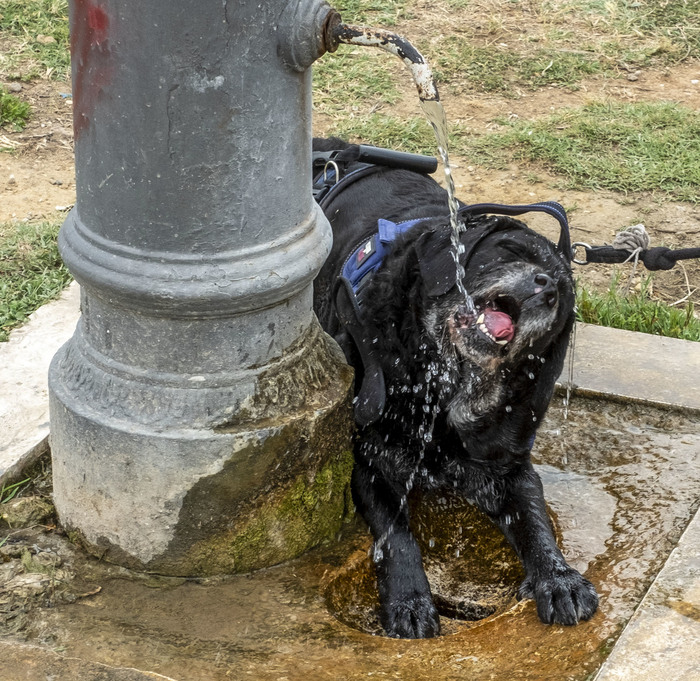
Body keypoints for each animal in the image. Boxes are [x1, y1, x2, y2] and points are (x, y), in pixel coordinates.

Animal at [314, 137, 600, 636]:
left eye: (562, 295)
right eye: (509, 249)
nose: (546, 286)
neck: (444, 388)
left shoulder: (509, 469)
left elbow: (536, 521)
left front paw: (558, 577)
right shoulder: (370, 459)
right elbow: (398, 535)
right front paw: (409, 601)